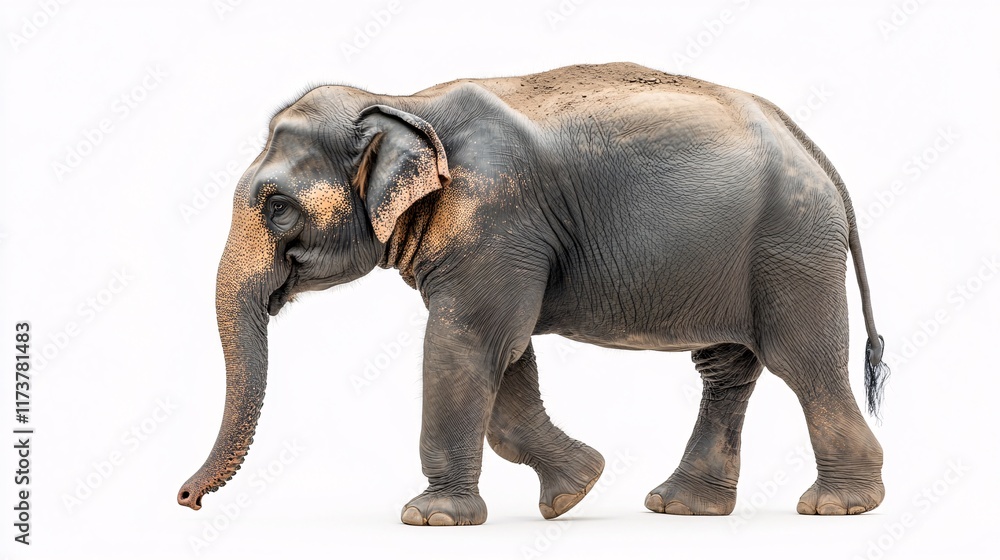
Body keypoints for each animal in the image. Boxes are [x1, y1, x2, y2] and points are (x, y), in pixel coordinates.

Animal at [177, 62, 889, 525]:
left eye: (277, 208)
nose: (187, 500)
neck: (402, 101)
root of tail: (815, 150)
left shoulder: (497, 216)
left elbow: (468, 343)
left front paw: (432, 518)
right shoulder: (500, 241)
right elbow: (505, 354)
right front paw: (576, 489)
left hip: (791, 248)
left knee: (804, 362)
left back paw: (838, 506)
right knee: (726, 368)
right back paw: (681, 506)